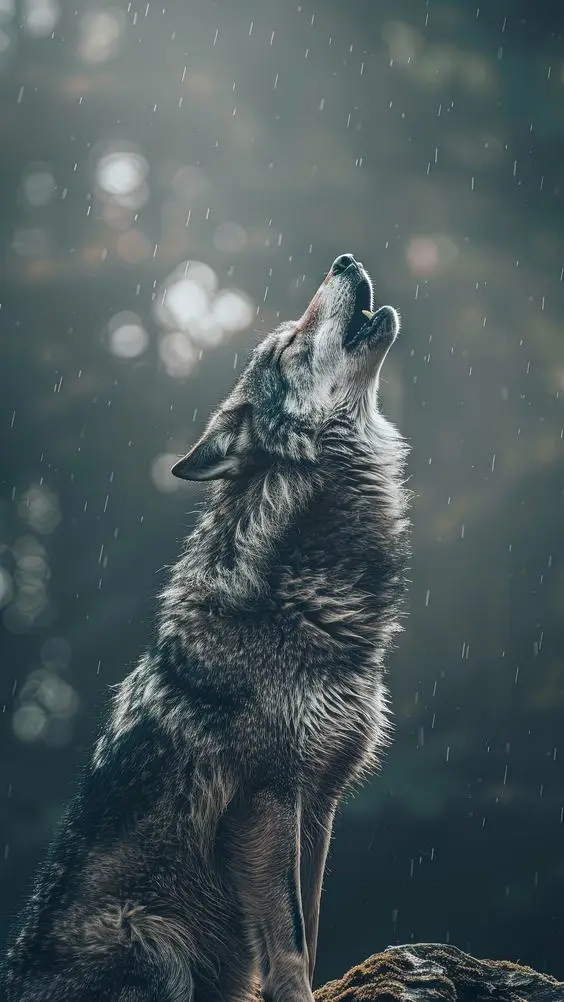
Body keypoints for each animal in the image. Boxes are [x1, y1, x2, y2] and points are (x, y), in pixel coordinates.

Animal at [2, 253, 410, 1002]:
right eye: (291, 343)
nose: (343, 259)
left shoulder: (321, 801)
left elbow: (310, 923)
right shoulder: (268, 798)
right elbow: (288, 939)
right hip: (154, 939)